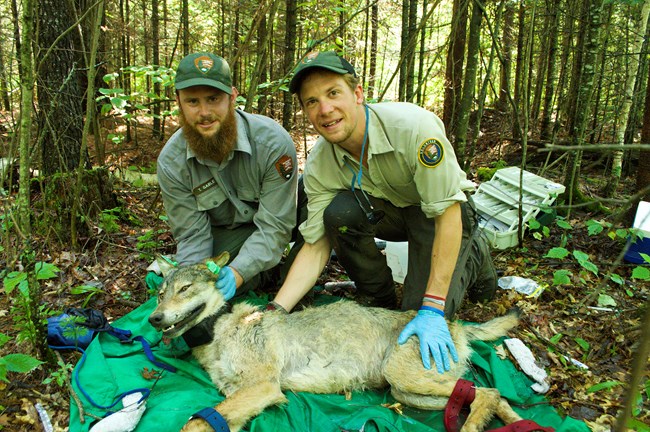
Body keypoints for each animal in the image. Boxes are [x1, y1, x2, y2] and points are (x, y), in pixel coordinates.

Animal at [149, 255, 524, 432]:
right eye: (160, 293)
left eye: (185, 289)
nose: (153, 319)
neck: (218, 330)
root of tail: (453, 324)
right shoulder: (240, 397)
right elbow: (209, 419)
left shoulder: (263, 386)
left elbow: (193, 422)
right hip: (409, 392)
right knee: (493, 396)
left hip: (404, 378)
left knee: (488, 392)